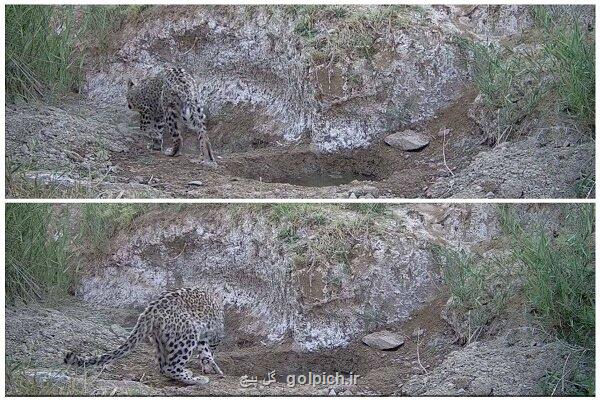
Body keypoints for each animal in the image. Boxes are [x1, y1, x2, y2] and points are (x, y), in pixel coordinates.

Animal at [63, 288, 225, 384]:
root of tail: (150, 310)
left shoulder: (204, 337)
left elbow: (205, 353)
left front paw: (209, 366)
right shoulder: (215, 335)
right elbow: (209, 351)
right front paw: (211, 368)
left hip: (161, 339)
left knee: (163, 366)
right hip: (187, 335)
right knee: (171, 367)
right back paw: (197, 379)